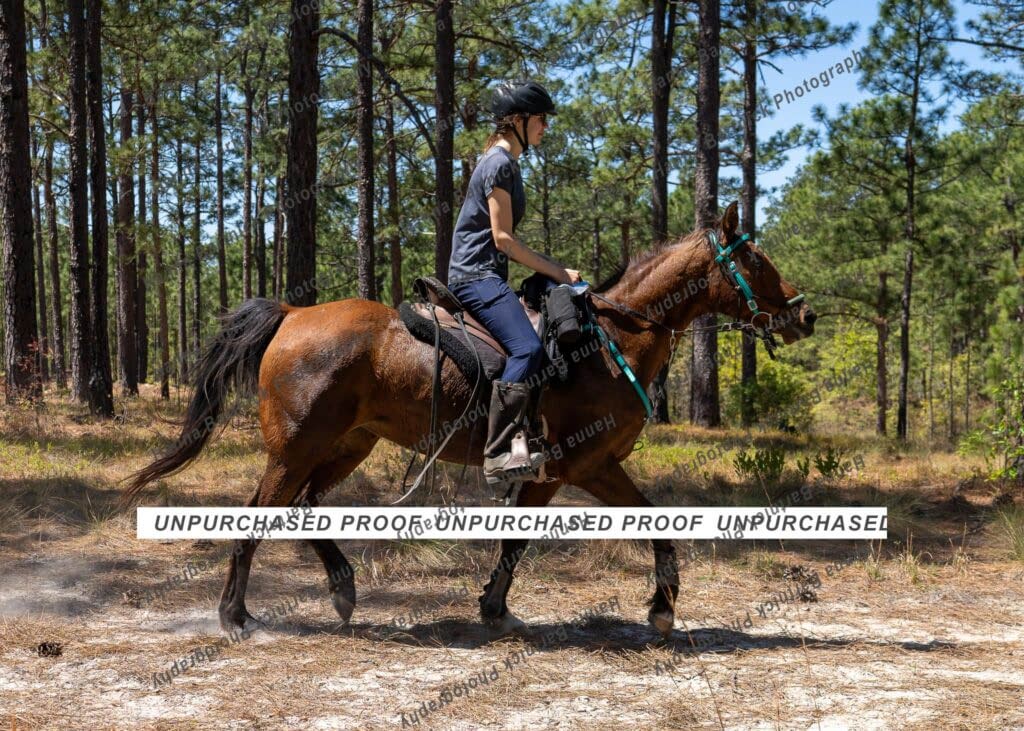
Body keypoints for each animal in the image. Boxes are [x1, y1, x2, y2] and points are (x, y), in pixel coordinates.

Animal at [126, 201, 815, 638]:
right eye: (755, 261)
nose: (803, 315)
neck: (610, 340)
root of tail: (293, 314)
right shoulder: (577, 465)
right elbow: (594, 529)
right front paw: (658, 607)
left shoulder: (575, 469)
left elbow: (541, 537)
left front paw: (499, 608)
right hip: (296, 448)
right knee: (260, 514)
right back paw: (235, 617)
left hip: (349, 444)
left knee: (302, 507)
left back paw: (342, 587)